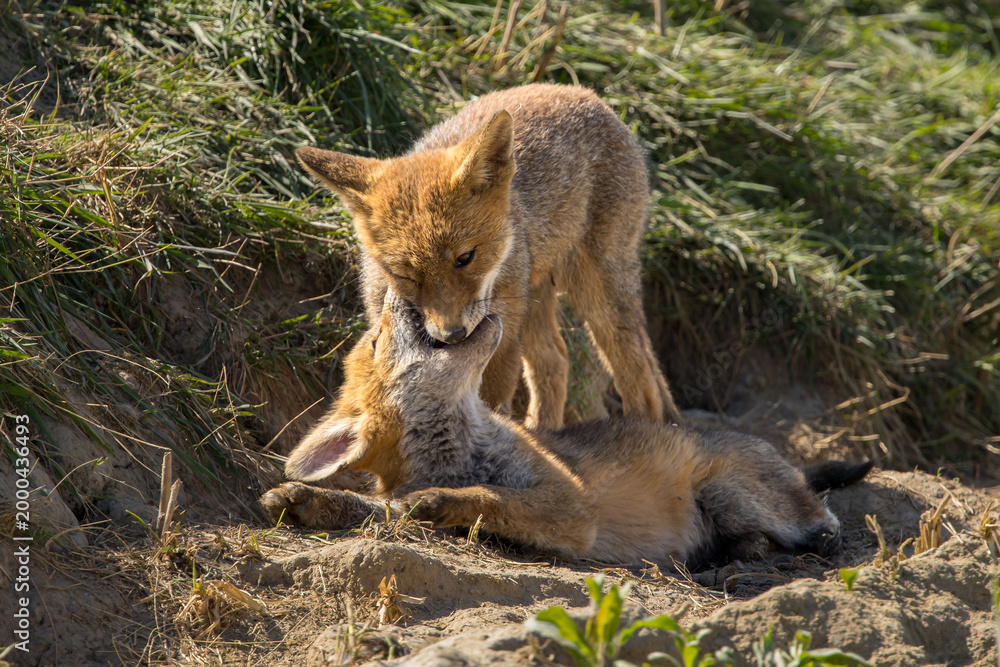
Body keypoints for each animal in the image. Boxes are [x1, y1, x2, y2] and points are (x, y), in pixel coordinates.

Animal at [260, 291, 873, 568]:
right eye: (374, 340)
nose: (398, 292)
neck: (465, 455)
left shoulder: (573, 506)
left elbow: (490, 497)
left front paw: (449, 500)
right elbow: (382, 510)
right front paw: (309, 501)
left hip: (727, 491)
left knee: (826, 524)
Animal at [295, 83, 679, 429]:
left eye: (465, 258)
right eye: (405, 274)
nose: (451, 335)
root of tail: (585, 92)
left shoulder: (500, 344)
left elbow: (488, 409)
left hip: (594, 295)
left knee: (640, 378)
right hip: (533, 298)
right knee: (556, 361)